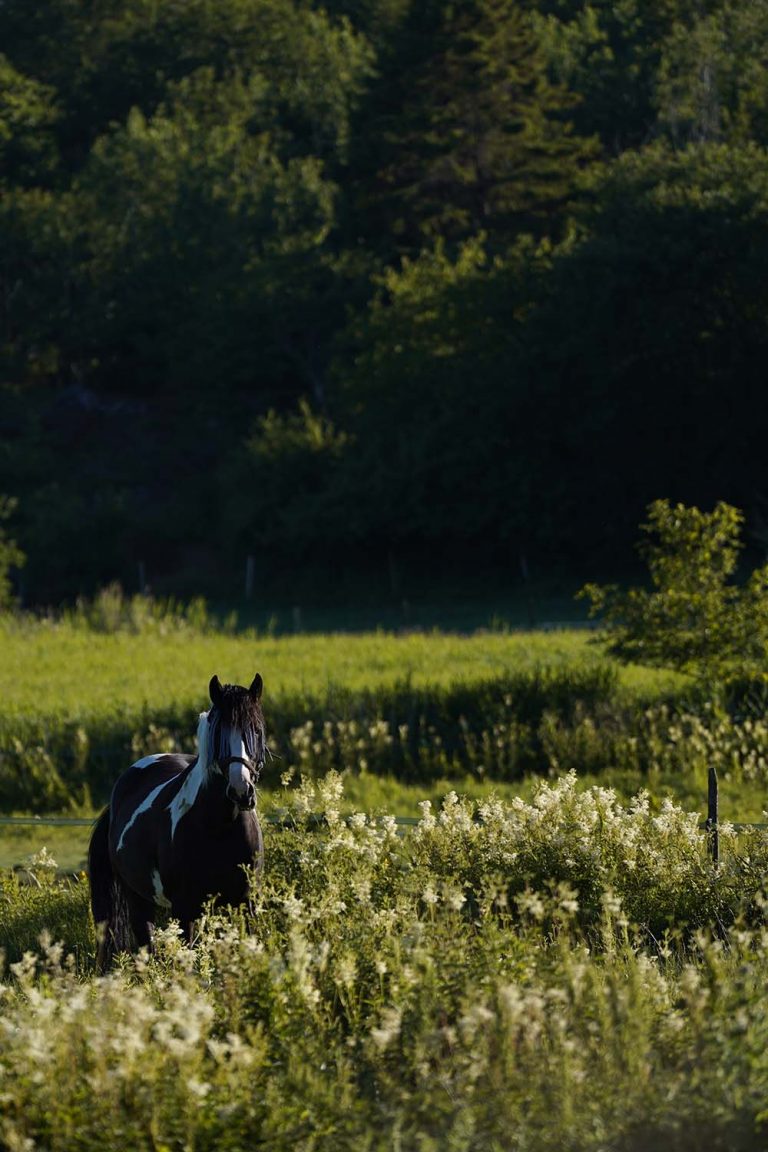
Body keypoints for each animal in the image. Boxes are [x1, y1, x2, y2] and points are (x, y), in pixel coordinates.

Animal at [89, 673, 267, 971]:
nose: (241, 791)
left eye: (256, 729)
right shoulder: (185, 909)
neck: (219, 828)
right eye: (218, 733)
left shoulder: (245, 903)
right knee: (147, 945)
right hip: (138, 899)